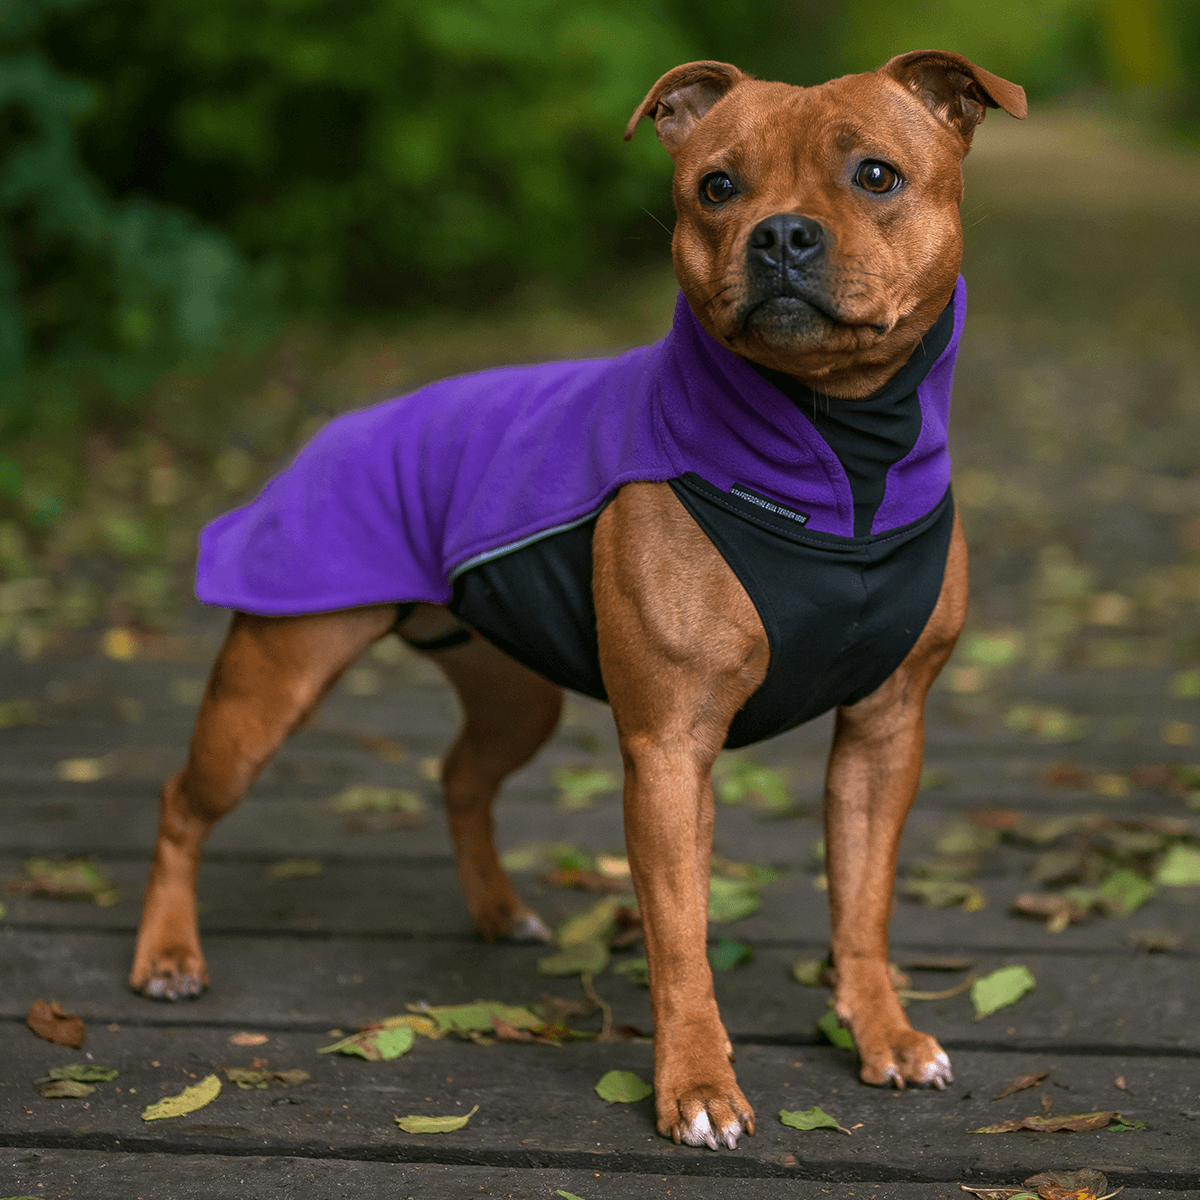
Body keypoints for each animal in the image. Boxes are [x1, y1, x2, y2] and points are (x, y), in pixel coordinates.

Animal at [136, 49, 1027, 1152]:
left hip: (514, 696)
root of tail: (339, 426)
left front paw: (883, 1036)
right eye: (716, 188)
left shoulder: (884, 729)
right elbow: (680, 935)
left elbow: (862, 906)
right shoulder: (669, 748)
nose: (781, 234)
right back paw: (167, 957)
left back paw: (495, 911)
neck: (842, 460)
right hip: (273, 680)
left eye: (875, 175)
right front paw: (698, 1085)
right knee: (185, 800)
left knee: (461, 777)